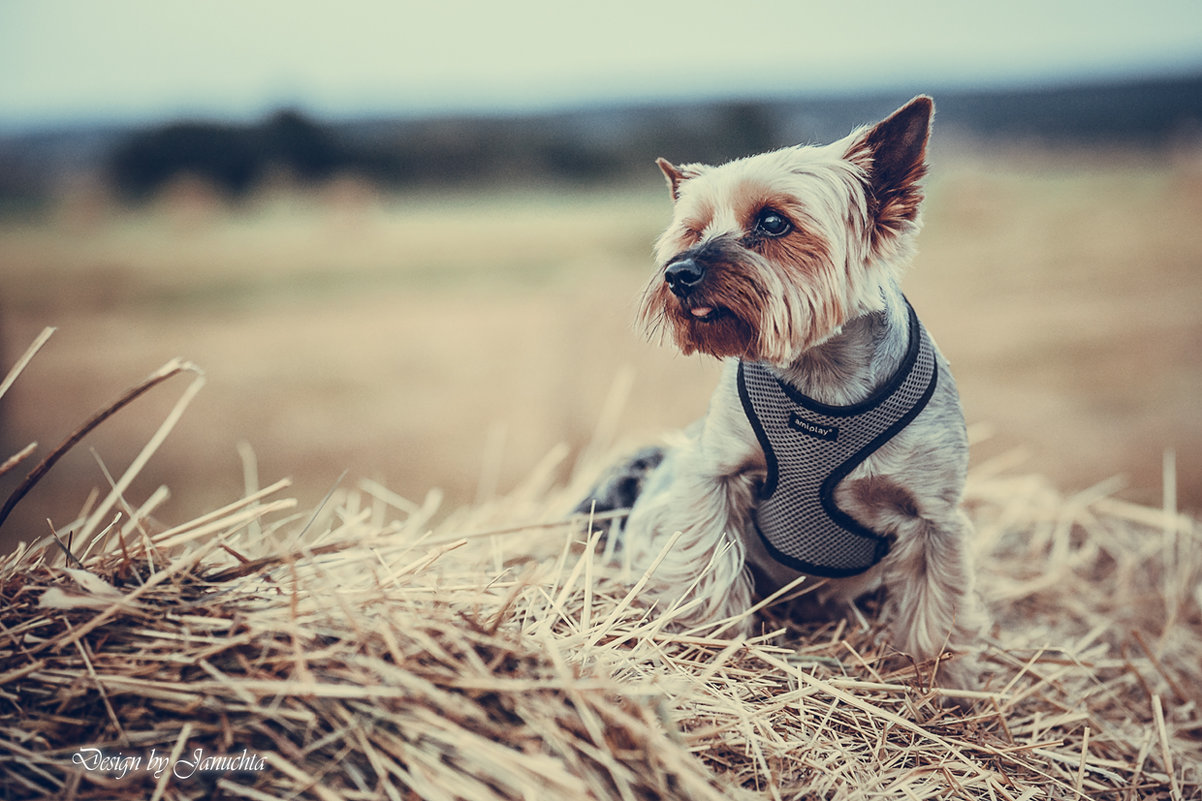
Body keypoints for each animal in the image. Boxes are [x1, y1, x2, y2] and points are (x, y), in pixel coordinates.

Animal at [581, 95, 985, 687]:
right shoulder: (715, 474)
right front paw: (710, 641)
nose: (678, 274)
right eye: (692, 231)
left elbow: (937, 605)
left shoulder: (935, 515)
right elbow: (708, 561)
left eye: (773, 222)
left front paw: (938, 682)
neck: (822, 372)